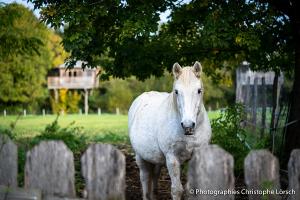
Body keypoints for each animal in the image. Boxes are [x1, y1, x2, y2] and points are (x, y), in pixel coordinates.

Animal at [128, 61, 211, 200]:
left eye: (199, 90)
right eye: (176, 91)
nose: (188, 125)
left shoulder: (197, 157)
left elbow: (192, 189)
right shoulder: (172, 158)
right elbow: (177, 190)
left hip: (156, 158)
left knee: (155, 174)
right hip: (140, 156)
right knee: (145, 177)